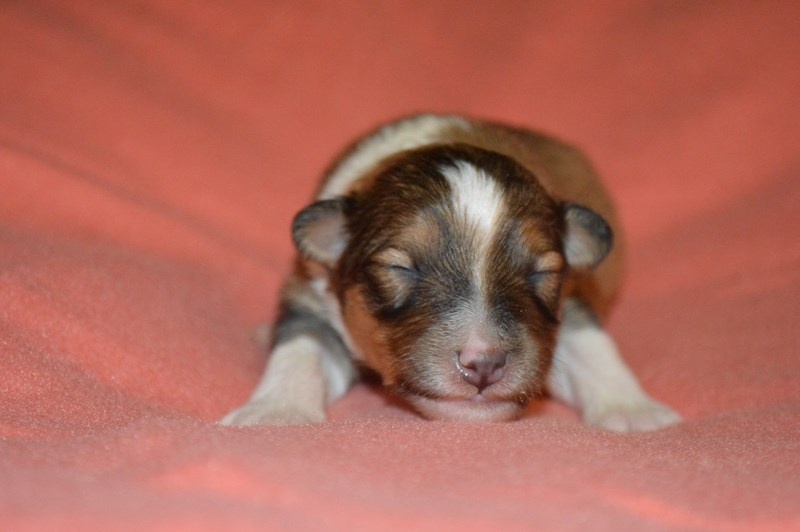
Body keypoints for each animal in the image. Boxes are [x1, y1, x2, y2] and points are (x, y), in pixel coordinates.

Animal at [220, 114, 680, 430]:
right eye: (399, 267)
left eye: (543, 274)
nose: (484, 364)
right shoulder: (311, 297)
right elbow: (298, 350)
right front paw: (274, 413)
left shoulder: (574, 299)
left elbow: (593, 347)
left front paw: (634, 411)